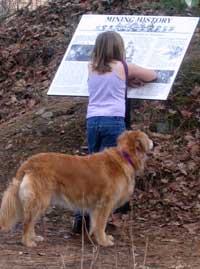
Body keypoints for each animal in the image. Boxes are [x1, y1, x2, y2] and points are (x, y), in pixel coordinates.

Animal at [0, 130, 152, 247]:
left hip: (41, 201)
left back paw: (33, 237)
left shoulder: (96, 206)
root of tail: (28, 163)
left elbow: (95, 223)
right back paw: (27, 242)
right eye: (147, 137)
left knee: (31, 221)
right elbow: (101, 224)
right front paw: (103, 241)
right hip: (39, 200)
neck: (125, 156)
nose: (154, 142)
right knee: (27, 222)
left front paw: (96, 237)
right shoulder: (105, 204)